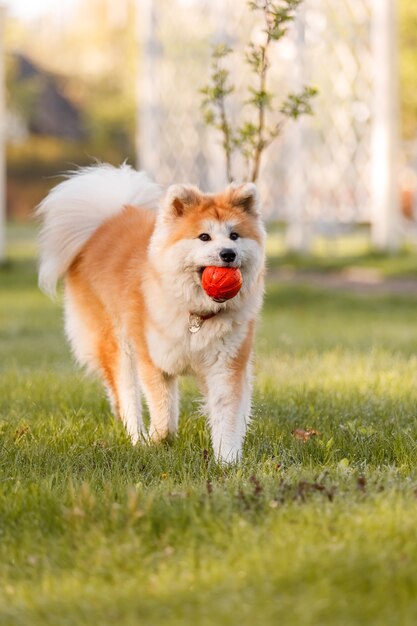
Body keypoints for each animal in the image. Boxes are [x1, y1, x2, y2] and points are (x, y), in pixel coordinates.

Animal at [37, 163, 264, 460]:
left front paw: (227, 461)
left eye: (235, 235)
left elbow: (227, 417)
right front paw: (159, 442)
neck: (195, 314)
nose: (228, 253)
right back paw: (138, 440)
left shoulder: (226, 366)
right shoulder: (155, 363)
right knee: (127, 400)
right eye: (204, 237)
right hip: (117, 346)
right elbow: (164, 415)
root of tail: (104, 224)